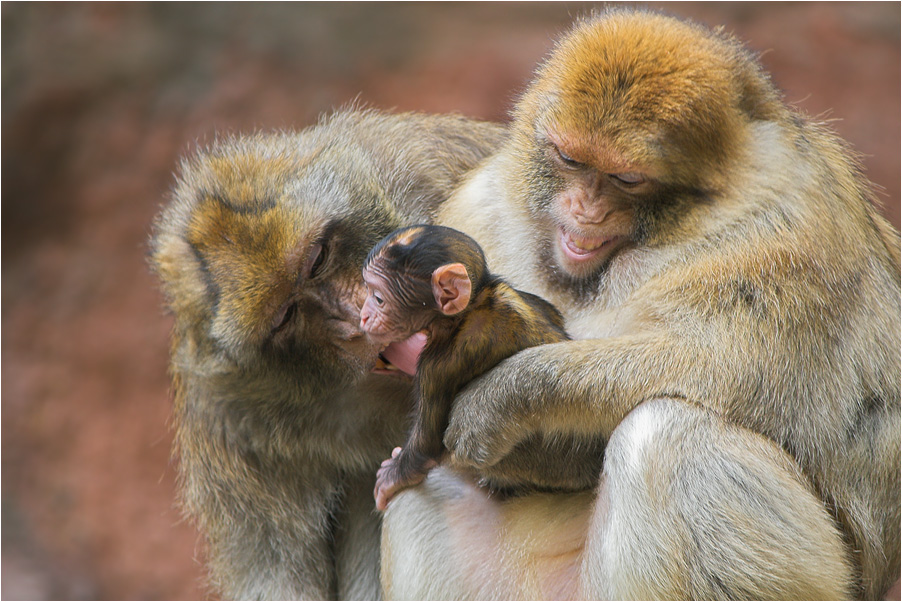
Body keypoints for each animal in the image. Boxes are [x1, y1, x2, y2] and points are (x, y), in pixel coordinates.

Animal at [356, 223, 568, 508]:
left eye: (378, 299)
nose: (363, 316)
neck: (470, 308)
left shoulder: (439, 364)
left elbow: (427, 444)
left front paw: (391, 476)